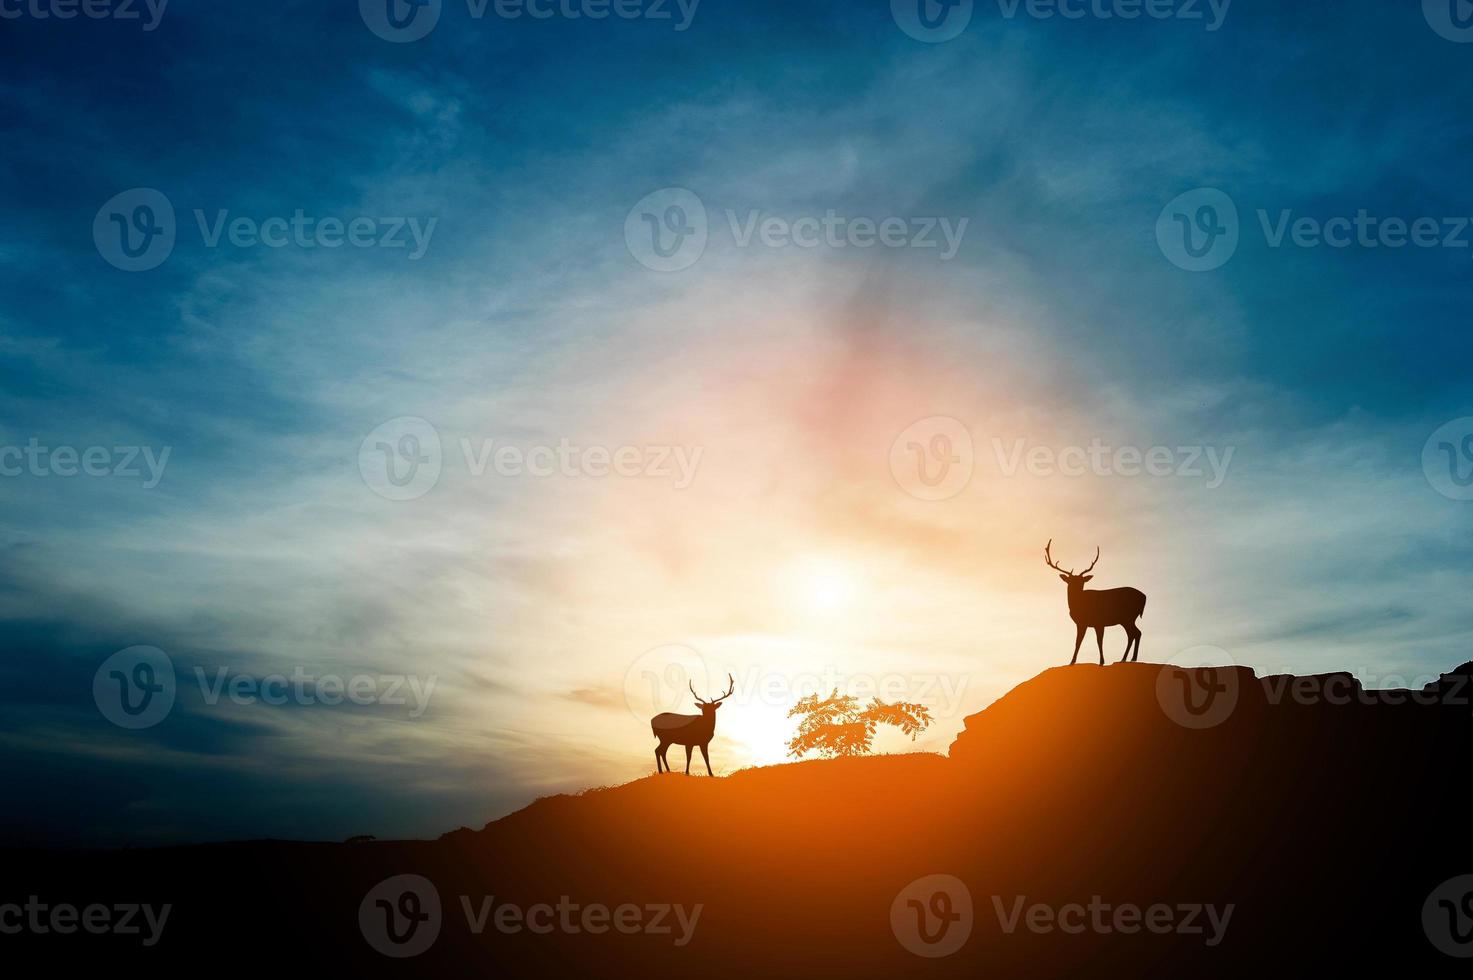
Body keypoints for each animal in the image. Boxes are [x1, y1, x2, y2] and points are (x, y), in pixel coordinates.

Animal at [1042, 539, 1143, 669]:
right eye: (1070, 581)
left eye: (1082, 582)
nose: (1077, 590)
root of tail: (1144, 597)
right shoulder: (1082, 624)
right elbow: (1078, 641)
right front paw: (1071, 662)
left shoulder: (1098, 622)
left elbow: (1098, 641)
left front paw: (1101, 662)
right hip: (1127, 619)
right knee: (1134, 633)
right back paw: (1127, 658)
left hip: (1128, 617)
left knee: (1135, 633)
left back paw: (1129, 658)